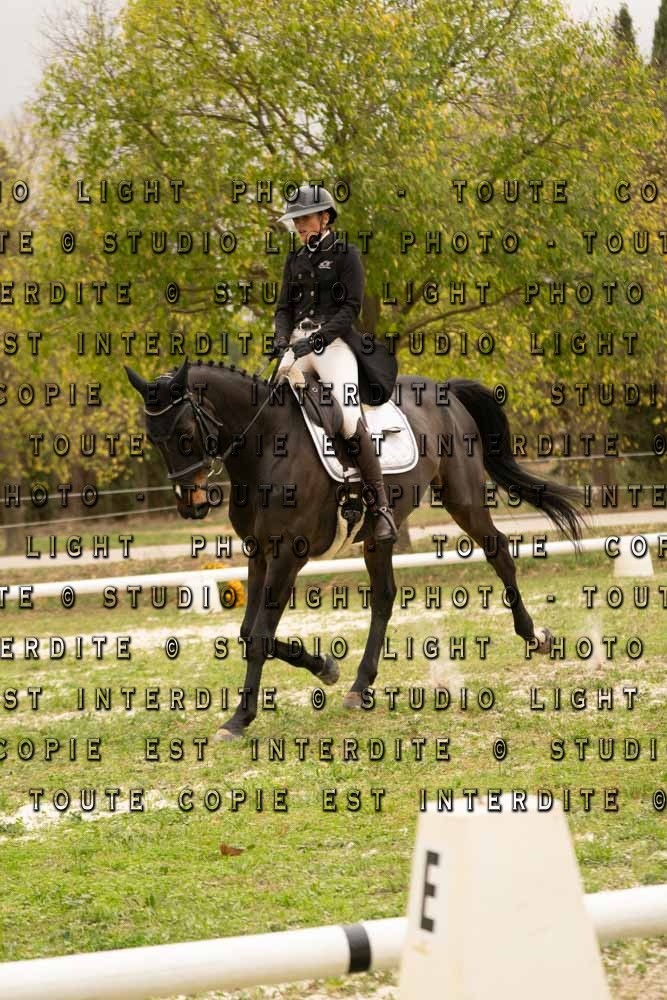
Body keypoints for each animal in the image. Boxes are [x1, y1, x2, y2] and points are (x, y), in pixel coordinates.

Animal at [125, 358, 584, 739]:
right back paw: (359, 687)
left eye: (185, 433)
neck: (266, 443)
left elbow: (258, 636)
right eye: (153, 439)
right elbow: (247, 632)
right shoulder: (259, 551)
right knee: (384, 597)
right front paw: (325, 667)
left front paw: (238, 720)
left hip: (463, 496)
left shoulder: (288, 553)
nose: (192, 504)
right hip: (379, 537)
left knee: (499, 552)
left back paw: (535, 636)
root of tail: (445, 390)